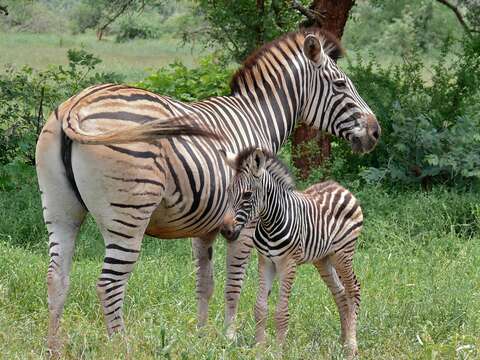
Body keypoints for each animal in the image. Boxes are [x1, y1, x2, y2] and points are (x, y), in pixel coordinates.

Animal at [221, 148, 364, 356]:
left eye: (247, 195)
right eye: (229, 191)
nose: (225, 231)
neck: (269, 222)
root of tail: (341, 188)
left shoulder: (287, 263)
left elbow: (281, 311)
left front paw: (278, 351)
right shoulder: (265, 261)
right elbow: (260, 308)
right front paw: (259, 347)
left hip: (343, 253)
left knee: (353, 290)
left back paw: (351, 346)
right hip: (323, 258)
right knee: (340, 292)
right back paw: (343, 341)